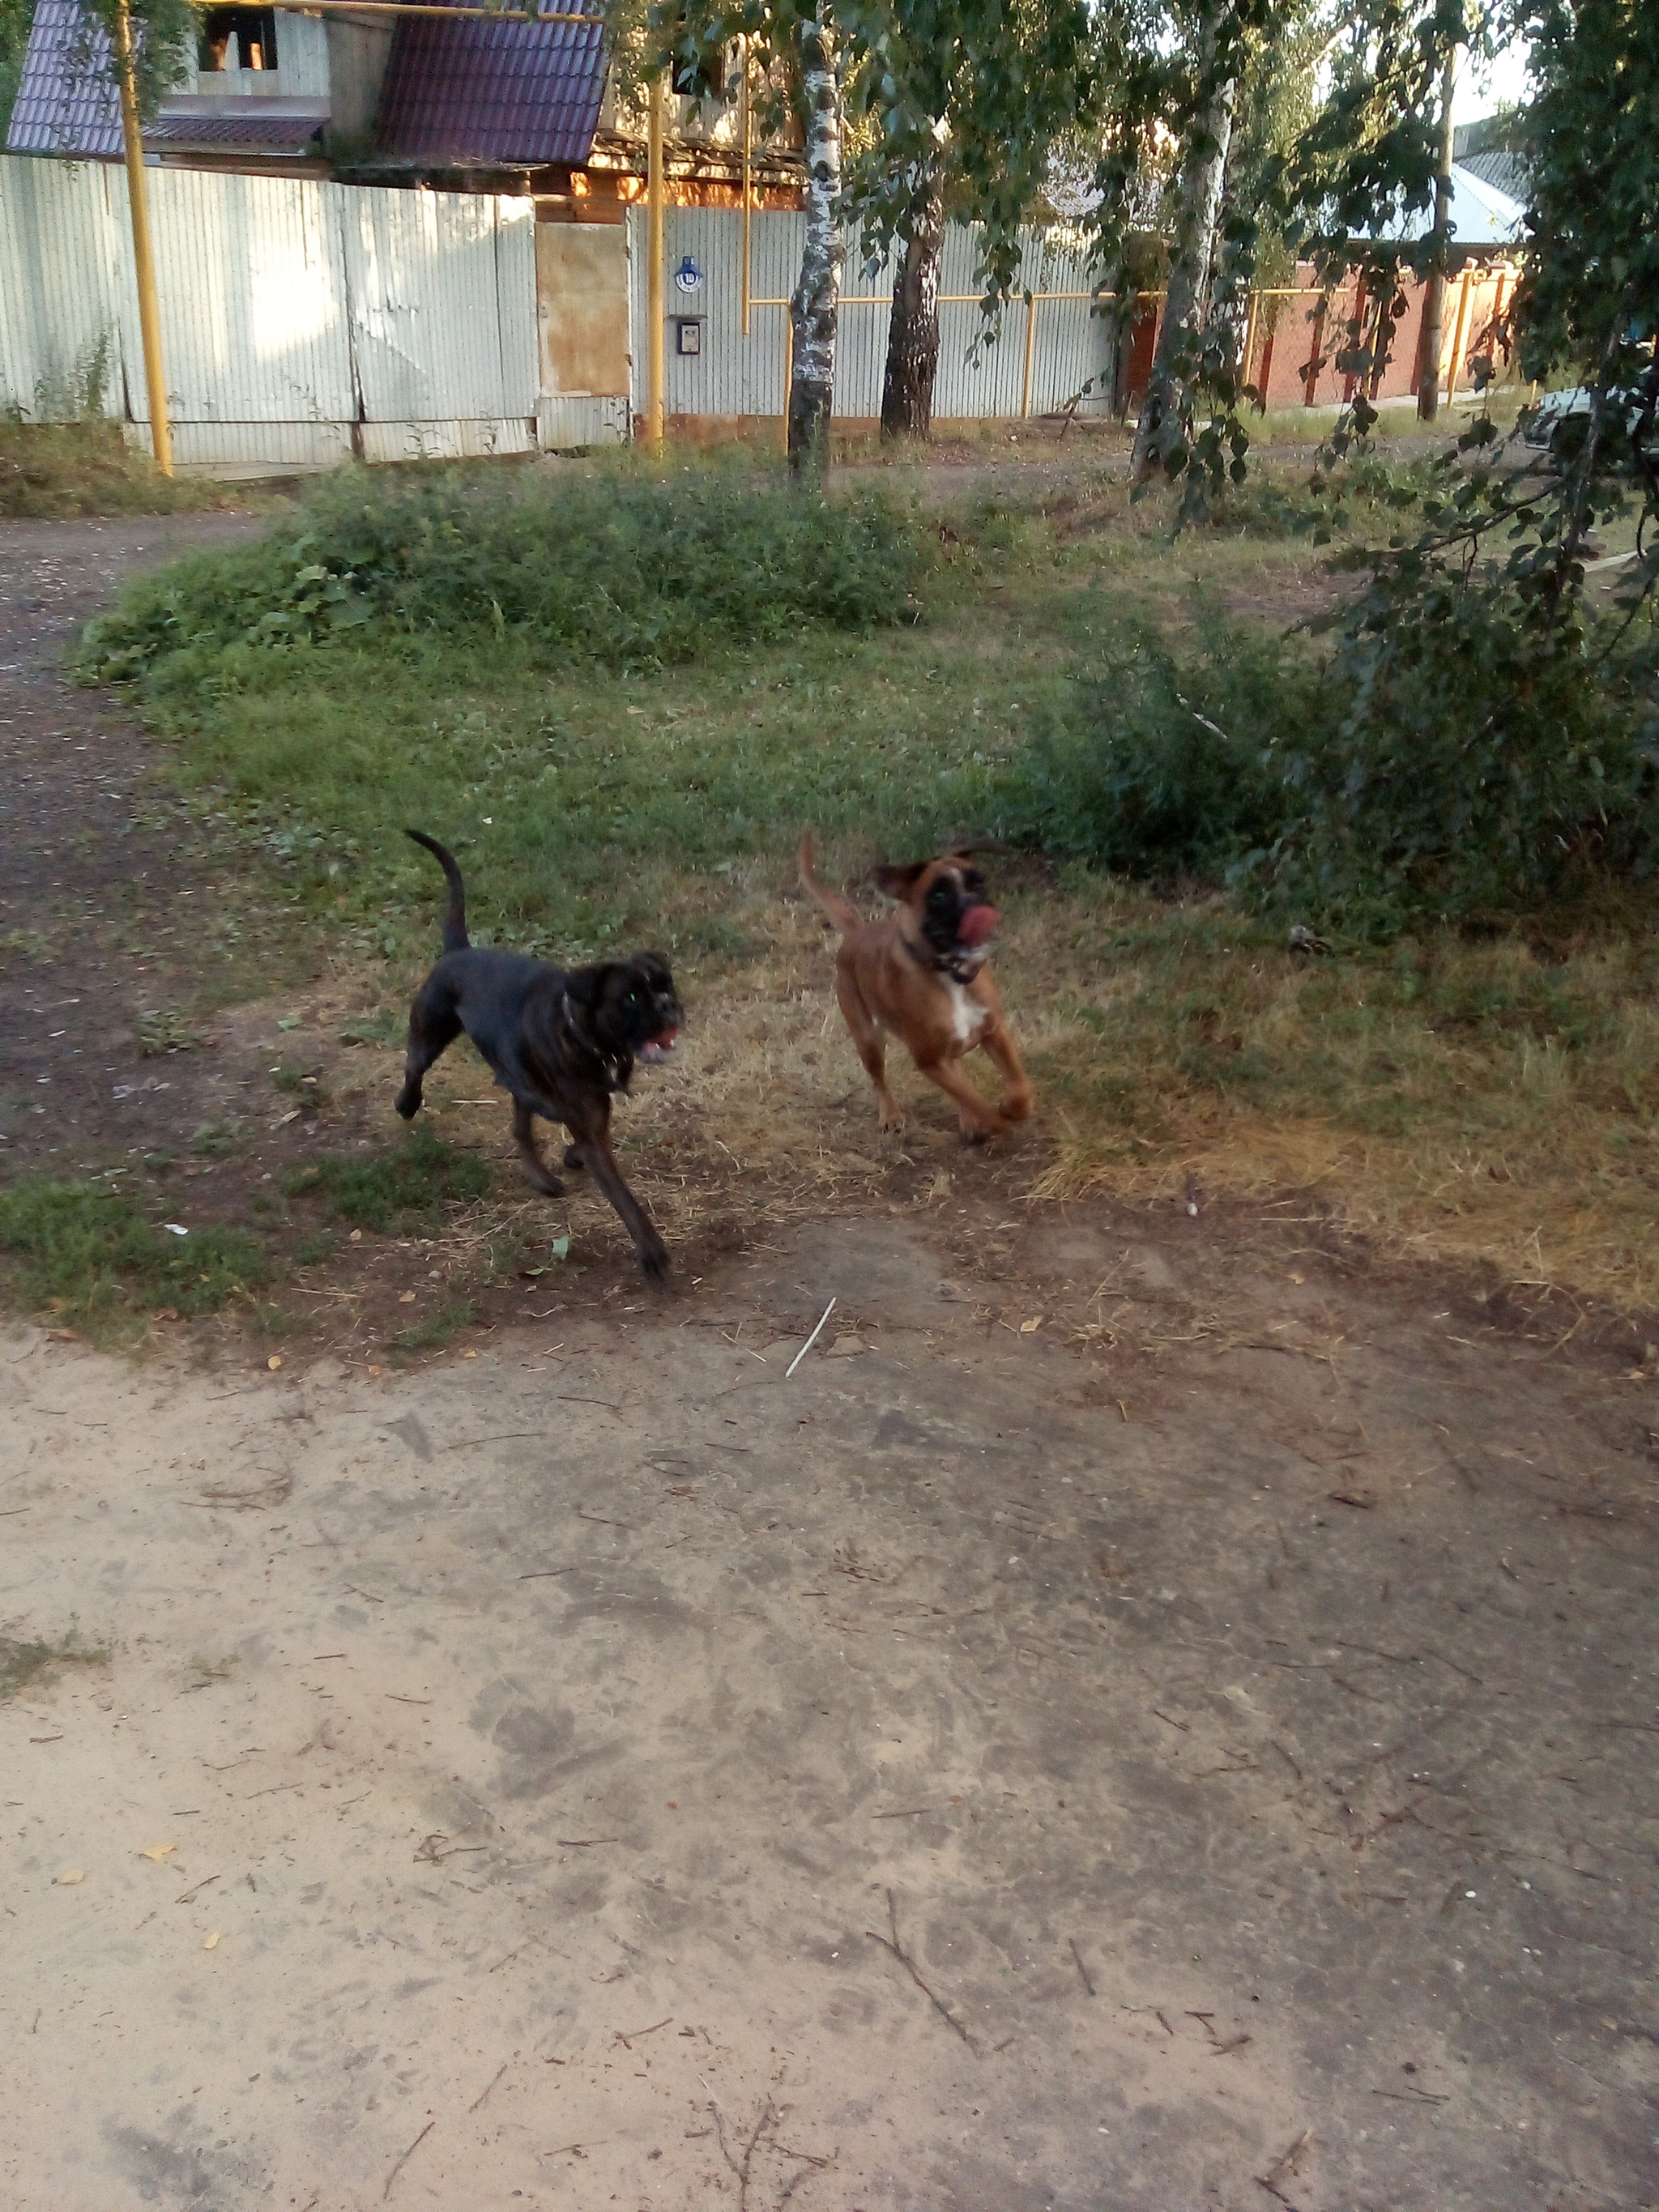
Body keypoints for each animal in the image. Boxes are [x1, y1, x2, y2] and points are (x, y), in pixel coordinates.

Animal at [395, 831, 681, 1282]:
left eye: (666, 984)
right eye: (633, 997)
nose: (669, 1004)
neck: (584, 1034)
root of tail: (460, 950)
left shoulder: (592, 1118)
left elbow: (574, 1138)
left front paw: (569, 1157)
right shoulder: (592, 1132)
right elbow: (625, 1200)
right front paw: (652, 1253)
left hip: (516, 1073)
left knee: (520, 1126)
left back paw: (542, 1177)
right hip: (431, 1030)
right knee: (414, 1067)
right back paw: (407, 1104)